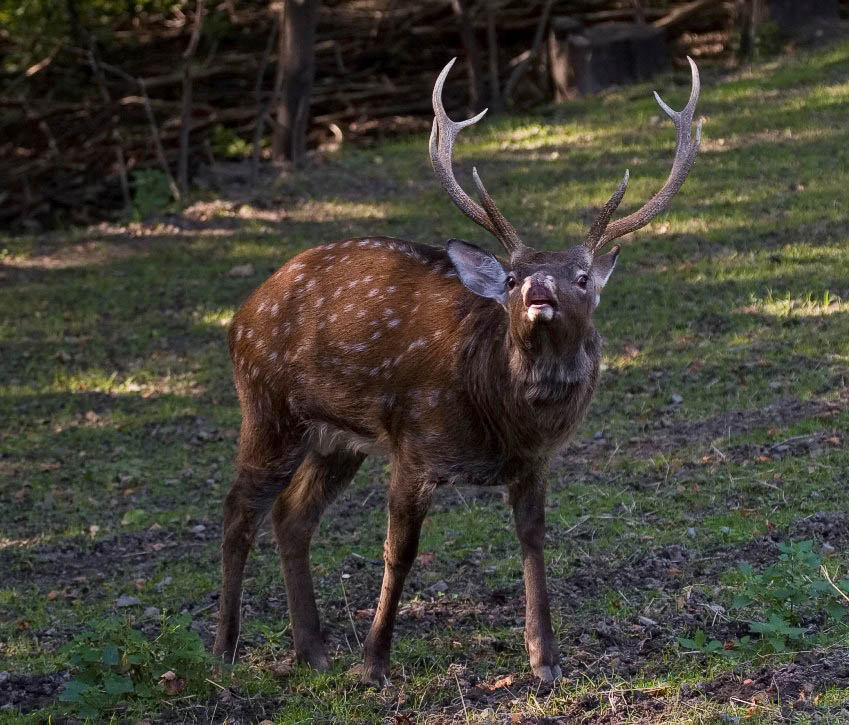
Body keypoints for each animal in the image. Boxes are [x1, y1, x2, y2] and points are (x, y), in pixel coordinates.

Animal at [214, 58, 704, 684]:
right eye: (513, 278)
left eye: (581, 278)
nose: (539, 290)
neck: (501, 419)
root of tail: (239, 316)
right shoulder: (414, 444)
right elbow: (399, 551)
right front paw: (373, 663)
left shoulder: (533, 463)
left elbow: (533, 539)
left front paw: (546, 659)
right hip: (268, 405)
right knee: (237, 510)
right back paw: (225, 649)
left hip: (337, 438)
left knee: (292, 514)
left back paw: (313, 651)